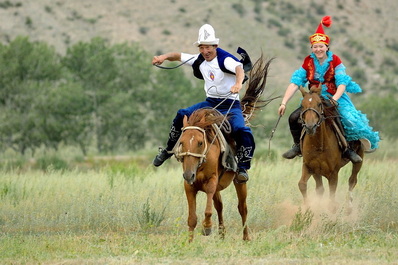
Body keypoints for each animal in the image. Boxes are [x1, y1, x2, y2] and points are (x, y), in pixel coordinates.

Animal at [173, 54, 272, 240]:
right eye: (181, 142)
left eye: (200, 142)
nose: (189, 174)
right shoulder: (189, 186)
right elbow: (192, 218)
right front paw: (189, 242)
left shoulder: (211, 182)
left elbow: (208, 210)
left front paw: (207, 227)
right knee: (219, 205)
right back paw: (222, 234)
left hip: (240, 183)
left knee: (242, 208)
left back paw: (246, 237)